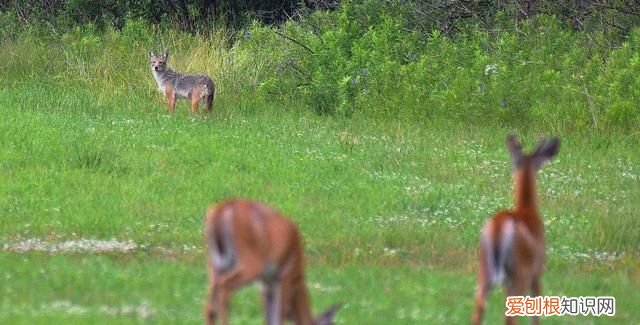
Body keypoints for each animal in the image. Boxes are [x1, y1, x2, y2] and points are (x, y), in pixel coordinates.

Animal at [470, 133, 560, 322]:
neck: (527, 210)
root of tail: (499, 225)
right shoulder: (537, 270)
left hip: (484, 268)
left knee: (478, 307)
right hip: (520, 271)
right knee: (510, 317)